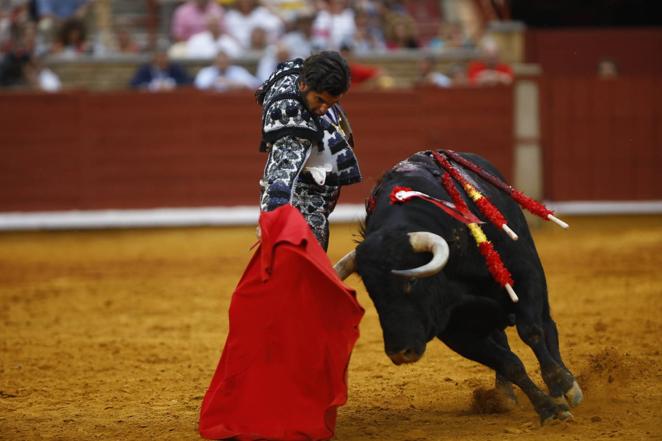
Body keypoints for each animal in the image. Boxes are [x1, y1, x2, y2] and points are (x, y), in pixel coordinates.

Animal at [338, 151, 588, 422]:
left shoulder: (525, 275)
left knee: (547, 326)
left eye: (412, 280)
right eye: (372, 292)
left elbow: (531, 331)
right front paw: (548, 409)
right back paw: (503, 395)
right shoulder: (454, 330)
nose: (399, 352)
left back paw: (565, 386)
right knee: (502, 340)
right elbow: (509, 363)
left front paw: (561, 384)